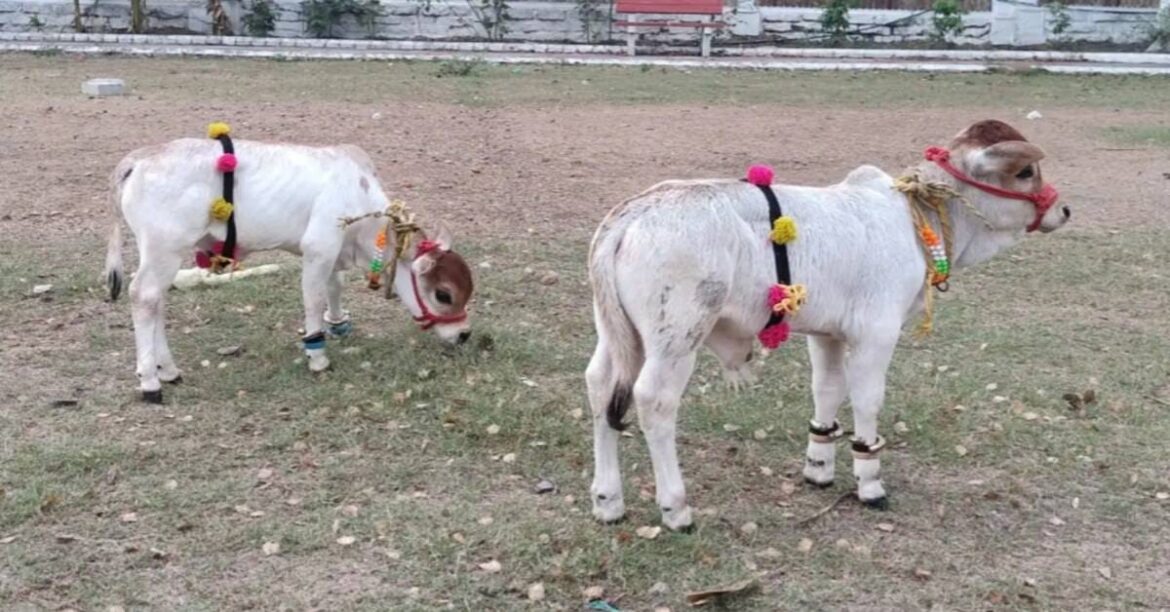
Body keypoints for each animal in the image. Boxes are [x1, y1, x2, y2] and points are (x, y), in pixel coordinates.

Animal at [103, 124, 474, 404]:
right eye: (443, 295)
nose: (464, 334)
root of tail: (138, 159)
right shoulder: (319, 247)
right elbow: (313, 298)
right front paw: (317, 355)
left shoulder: (332, 252)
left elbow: (334, 286)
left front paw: (338, 323)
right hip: (164, 249)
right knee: (144, 296)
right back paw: (151, 381)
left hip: (162, 254)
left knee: (157, 301)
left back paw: (167, 369)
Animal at [585, 120, 1069, 530]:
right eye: (1025, 171)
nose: (1063, 210)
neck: (915, 219)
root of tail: (633, 214)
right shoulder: (877, 333)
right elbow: (867, 400)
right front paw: (870, 482)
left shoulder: (826, 335)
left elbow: (828, 390)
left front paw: (818, 468)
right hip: (676, 337)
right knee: (654, 401)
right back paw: (676, 508)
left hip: (618, 334)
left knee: (601, 386)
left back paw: (608, 501)